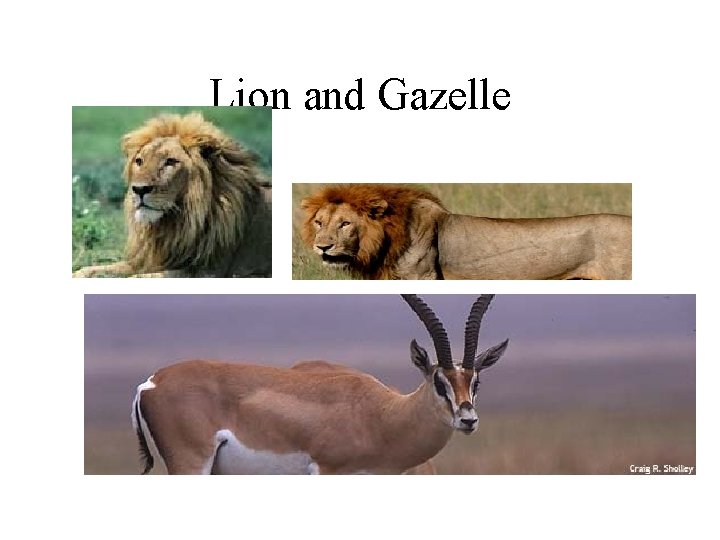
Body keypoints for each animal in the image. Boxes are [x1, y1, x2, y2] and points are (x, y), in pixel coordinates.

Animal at [73, 113, 271, 278]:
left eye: (170, 162)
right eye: (139, 161)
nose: (139, 189)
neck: (174, 224)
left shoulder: (207, 271)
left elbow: (139, 278)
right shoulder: (151, 259)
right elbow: (100, 268)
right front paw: (79, 273)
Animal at [131, 294, 509, 474]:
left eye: (475, 381)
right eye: (438, 381)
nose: (468, 419)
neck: (380, 416)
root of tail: (150, 383)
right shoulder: (327, 471)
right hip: (190, 466)